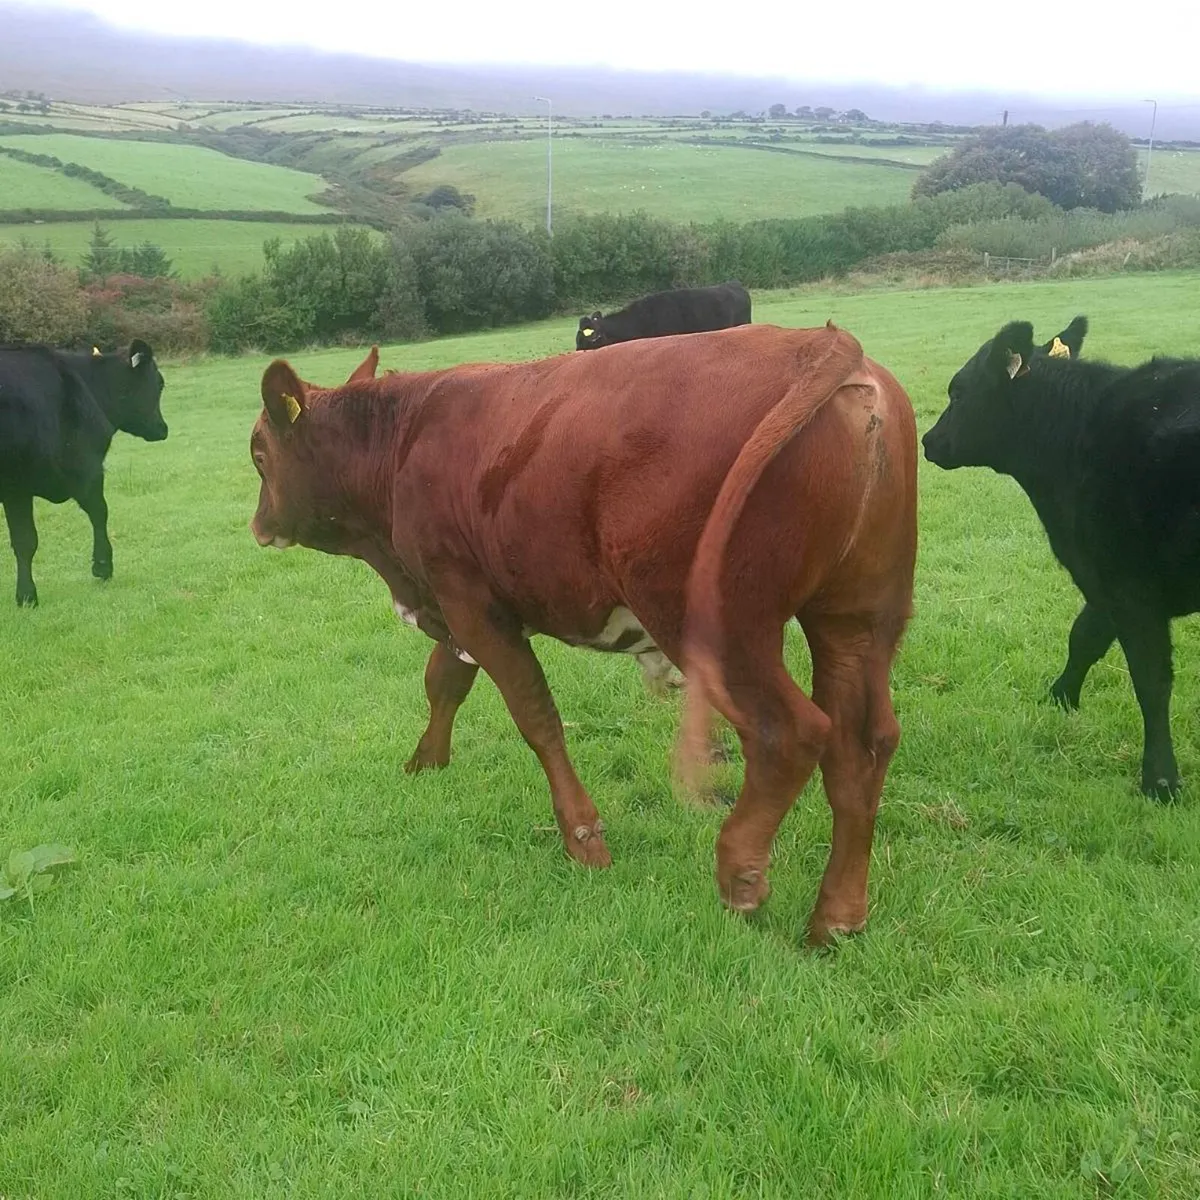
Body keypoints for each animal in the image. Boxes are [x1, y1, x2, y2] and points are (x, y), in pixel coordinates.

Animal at [249, 323, 917, 945]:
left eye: (258, 455)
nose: (258, 525)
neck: (402, 441)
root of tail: (818, 344)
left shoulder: (466, 597)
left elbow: (534, 715)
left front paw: (583, 838)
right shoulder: (459, 600)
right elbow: (445, 681)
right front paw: (426, 763)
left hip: (717, 624)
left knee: (792, 733)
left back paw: (739, 872)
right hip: (858, 618)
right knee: (864, 744)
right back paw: (835, 919)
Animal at [923, 315, 1200, 802]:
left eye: (958, 392)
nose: (928, 440)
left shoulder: (1129, 586)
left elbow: (1150, 679)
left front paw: (1160, 780)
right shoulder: (1104, 578)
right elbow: (1084, 637)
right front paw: (1060, 697)